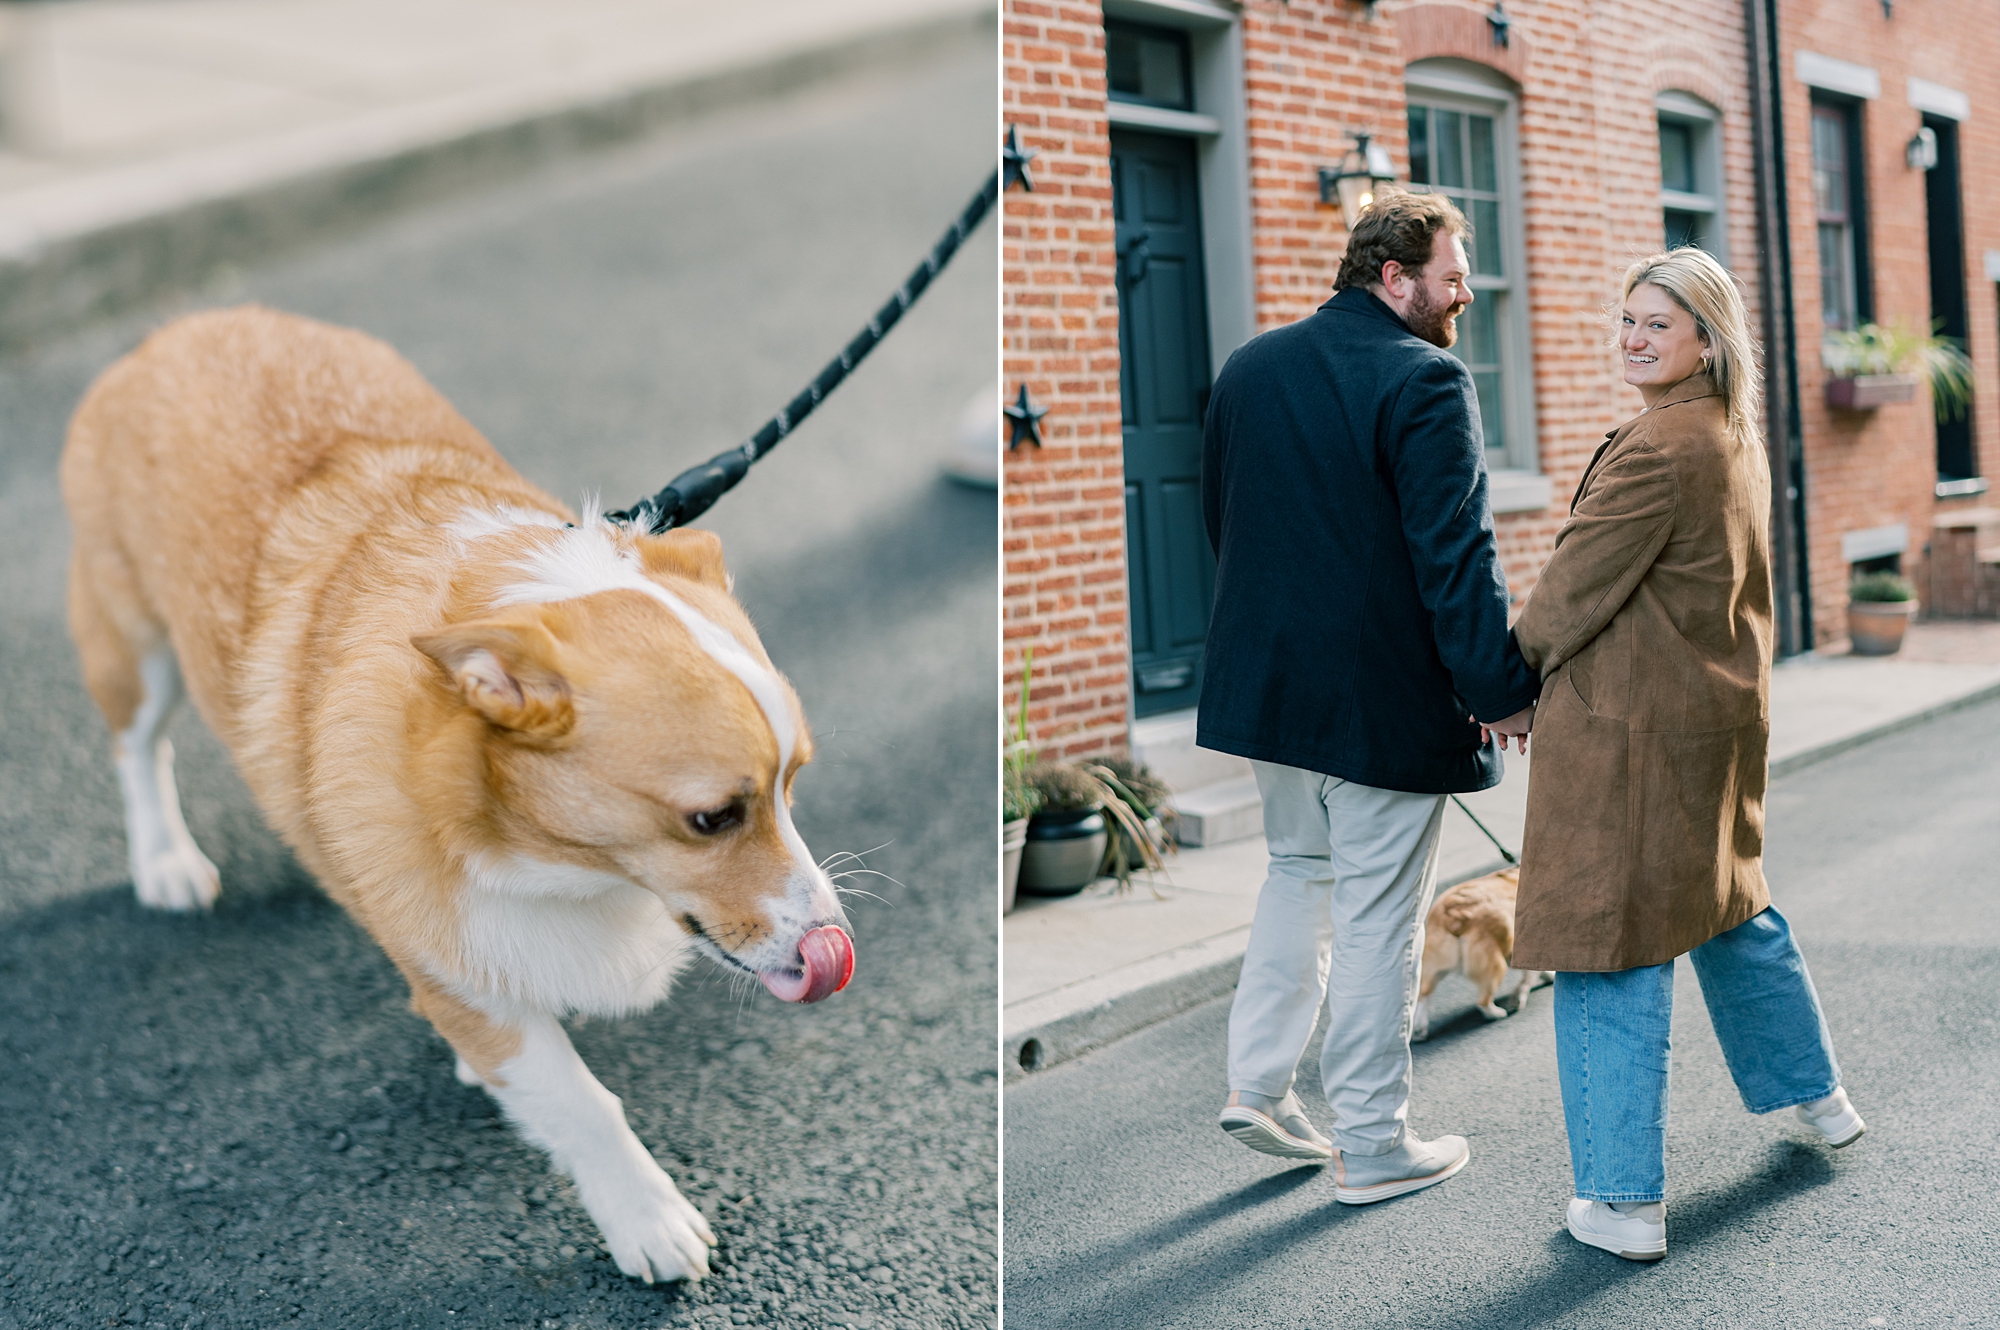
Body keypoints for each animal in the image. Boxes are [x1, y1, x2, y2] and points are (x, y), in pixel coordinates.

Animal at [58, 306, 856, 1280]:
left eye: (794, 781)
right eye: (710, 819)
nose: (834, 942)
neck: (554, 858)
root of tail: (181, 327)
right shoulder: (456, 966)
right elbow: (582, 1103)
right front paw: (650, 1222)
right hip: (134, 645)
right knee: (137, 748)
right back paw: (166, 860)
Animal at [1408, 868, 1544, 1040]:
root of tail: (1455, 915)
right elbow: (1529, 978)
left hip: (1433, 967)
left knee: (1424, 994)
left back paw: (1419, 1031)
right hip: (1495, 966)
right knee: (1483, 1001)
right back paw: (1496, 1013)